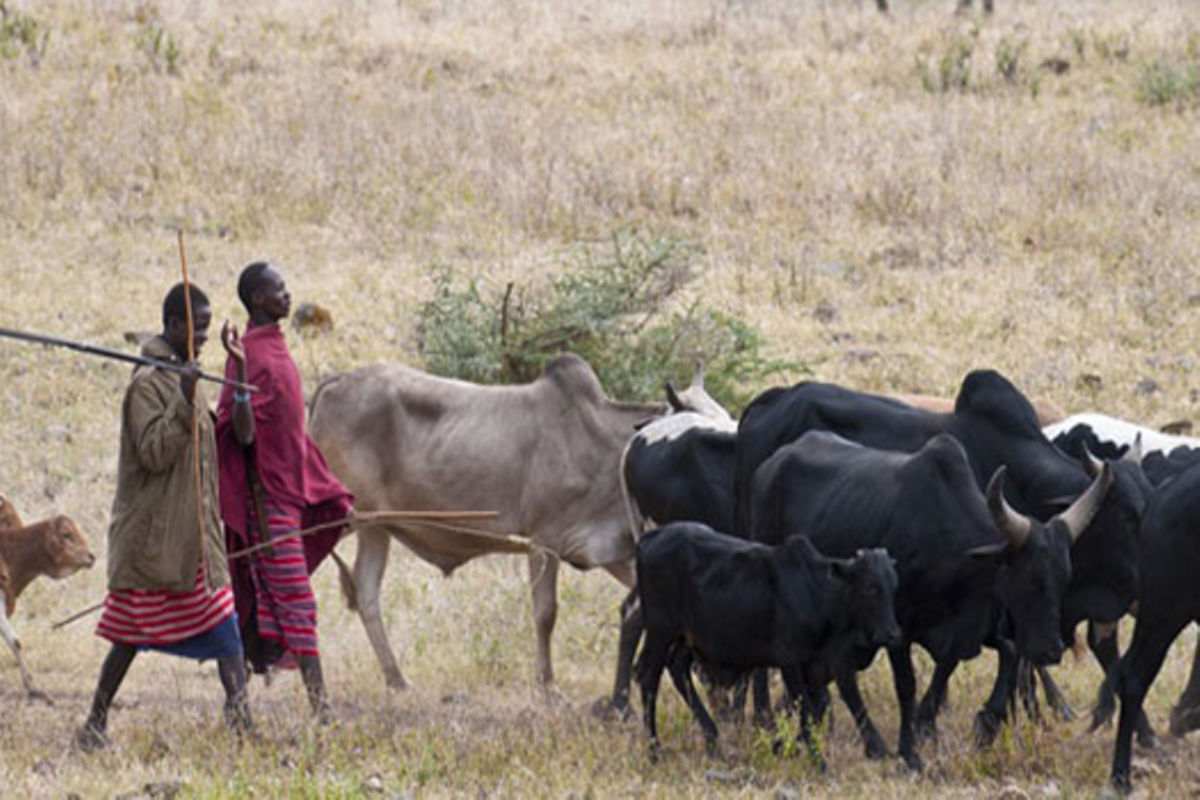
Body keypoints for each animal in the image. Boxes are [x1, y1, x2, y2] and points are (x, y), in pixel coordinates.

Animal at [309, 352, 662, 690]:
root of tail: (337, 380)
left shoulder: (607, 550)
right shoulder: (544, 540)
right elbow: (546, 613)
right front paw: (548, 686)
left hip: (375, 527)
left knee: (366, 590)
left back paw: (396, 680)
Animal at [638, 522, 902, 767]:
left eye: (893, 586)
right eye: (870, 587)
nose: (891, 633)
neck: (817, 593)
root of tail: (649, 538)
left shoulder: (819, 667)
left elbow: (822, 709)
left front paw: (785, 746)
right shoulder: (791, 662)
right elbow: (807, 711)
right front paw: (818, 762)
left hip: (688, 638)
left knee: (677, 667)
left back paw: (712, 740)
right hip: (660, 631)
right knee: (649, 678)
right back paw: (653, 750)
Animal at [753, 434, 1108, 772]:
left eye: (1064, 578)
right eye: (1033, 579)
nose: (1052, 650)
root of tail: (771, 465)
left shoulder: (975, 628)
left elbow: (985, 658)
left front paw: (977, 725)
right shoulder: (897, 630)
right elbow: (907, 685)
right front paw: (909, 752)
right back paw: (765, 720)